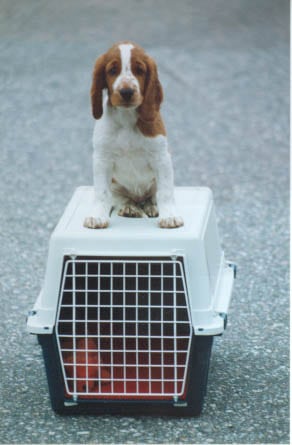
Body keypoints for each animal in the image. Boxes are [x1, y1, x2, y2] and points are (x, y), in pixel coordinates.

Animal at [83, 41, 184, 229]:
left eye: (140, 70)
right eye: (112, 71)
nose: (127, 92)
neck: (127, 118)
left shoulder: (161, 158)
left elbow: (165, 192)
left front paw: (169, 217)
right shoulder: (102, 159)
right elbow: (101, 193)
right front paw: (97, 216)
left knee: (152, 196)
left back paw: (151, 207)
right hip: (115, 185)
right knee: (121, 199)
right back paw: (130, 208)